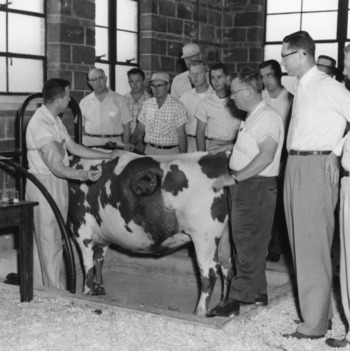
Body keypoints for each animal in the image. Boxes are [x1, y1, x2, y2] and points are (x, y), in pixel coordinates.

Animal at [67, 150, 234, 318]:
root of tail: (219, 154)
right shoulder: (102, 235)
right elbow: (99, 260)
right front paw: (99, 288)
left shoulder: (82, 229)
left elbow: (88, 266)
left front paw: (87, 293)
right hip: (225, 236)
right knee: (227, 265)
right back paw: (222, 306)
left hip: (204, 235)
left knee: (209, 271)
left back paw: (199, 312)